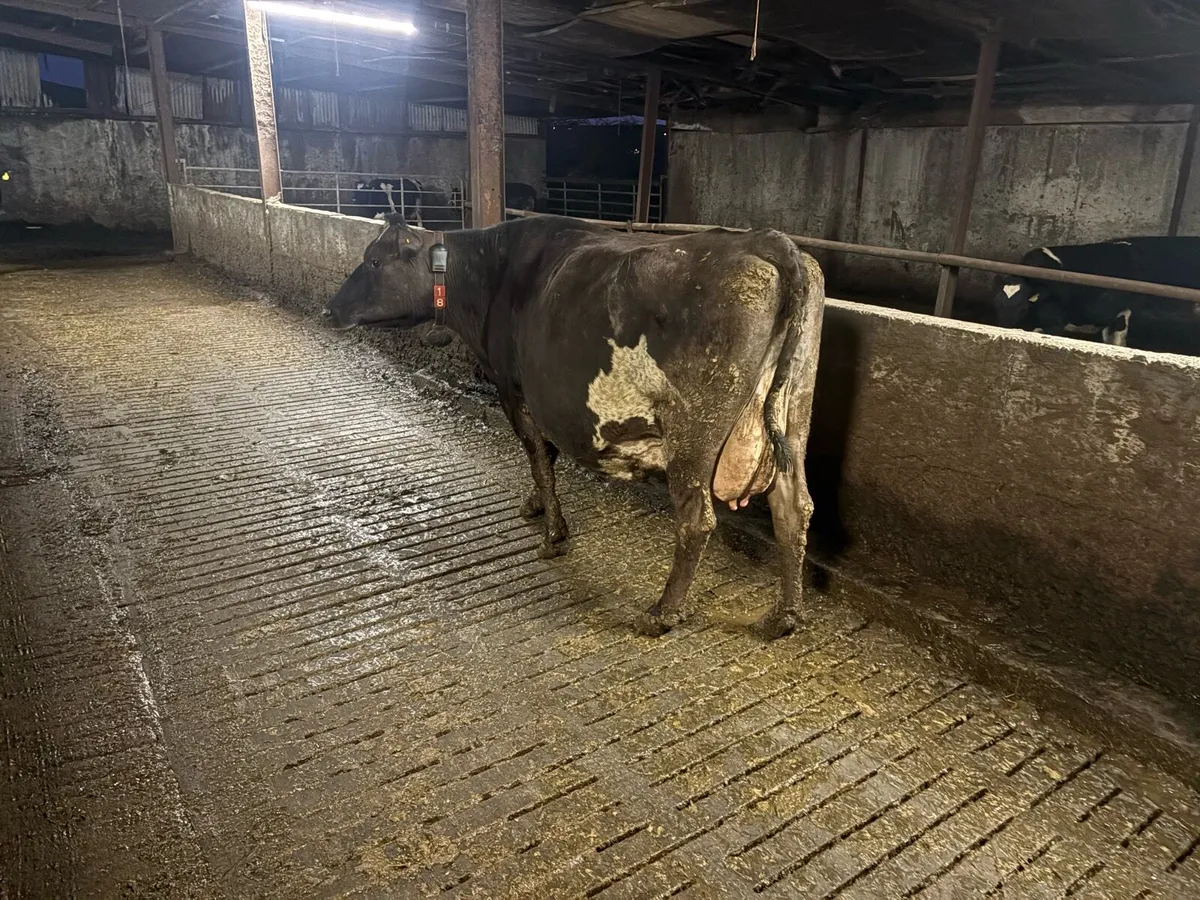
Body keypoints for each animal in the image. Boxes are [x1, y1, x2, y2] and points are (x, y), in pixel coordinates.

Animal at [324, 214, 825, 639]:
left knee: (696, 519)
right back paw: (784, 616)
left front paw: (552, 535)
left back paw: (661, 614)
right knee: (794, 507)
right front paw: (534, 507)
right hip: (795, 411)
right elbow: (544, 459)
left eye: (373, 260)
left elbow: (539, 457)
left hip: (693, 429)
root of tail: (763, 240)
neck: (490, 277)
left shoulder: (514, 391)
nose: (329, 311)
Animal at [995, 237, 1200, 352]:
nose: (1004, 325)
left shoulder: (1056, 318)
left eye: (1022, 308)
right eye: (998, 304)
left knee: (1118, 334)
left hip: (1127, 310)